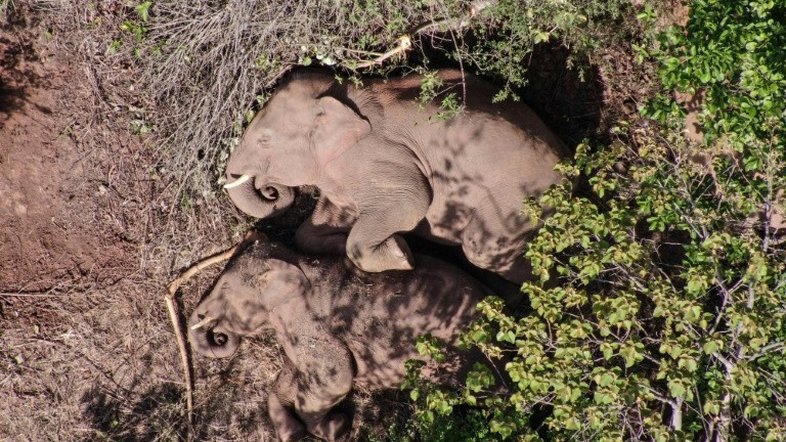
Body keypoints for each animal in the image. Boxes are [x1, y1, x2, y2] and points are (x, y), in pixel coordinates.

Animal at [188, 234, 492, 441]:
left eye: (224, 288)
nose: (219, 336)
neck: (295, 261)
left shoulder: (310, 324)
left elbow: (337, 377)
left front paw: (337, 428)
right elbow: (290, 376)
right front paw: (292, 434)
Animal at [223, 68, 568, 284]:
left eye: (264, 140)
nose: (270, 189)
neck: (342, 95)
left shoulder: (374, 156)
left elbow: (413, 201)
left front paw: (402, 254)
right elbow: (312, 230)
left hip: (519, 198)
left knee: (483, 250)